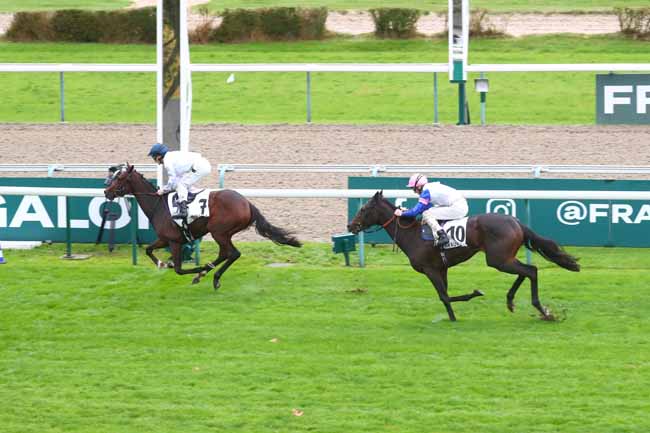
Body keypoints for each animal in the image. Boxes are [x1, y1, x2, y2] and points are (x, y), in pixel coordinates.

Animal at [104, 164, 302, 288]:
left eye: (120, 178)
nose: (106, 191)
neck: (158, 206)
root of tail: (247, 203)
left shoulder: (174, 241)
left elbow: (179, 269)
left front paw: (193, 269)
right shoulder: (165, 239)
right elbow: (148, 250)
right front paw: (162, 263)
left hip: (219, 232)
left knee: (233, 253)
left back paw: (211, 275)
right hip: (223, 234)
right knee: (225, 253)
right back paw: (207, 272)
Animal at [346, 191, 580, 318]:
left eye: (364, 209)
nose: (350, 225)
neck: (412, 233)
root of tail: (516, 222)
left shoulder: (430, 269)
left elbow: (444, 296)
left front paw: (466, 303)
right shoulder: (441, 268)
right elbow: (446, 295)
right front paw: (453, 315)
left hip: (497, 259)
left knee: (530, 270)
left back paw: (541, 310)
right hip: (504, 257)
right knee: (526, 271)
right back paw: (511, 301)